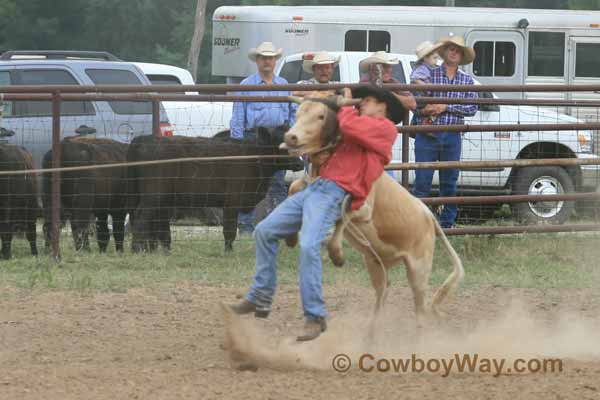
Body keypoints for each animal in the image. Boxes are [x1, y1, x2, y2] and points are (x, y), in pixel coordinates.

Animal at [128, 127, 302, 253]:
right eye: (282, 144)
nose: (300, 163)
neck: (252, 157)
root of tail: (144, 139)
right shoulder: (231, 202)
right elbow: (230, 230)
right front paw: (228, 252)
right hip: (153, 196)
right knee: (141, 216)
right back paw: (137, 249)